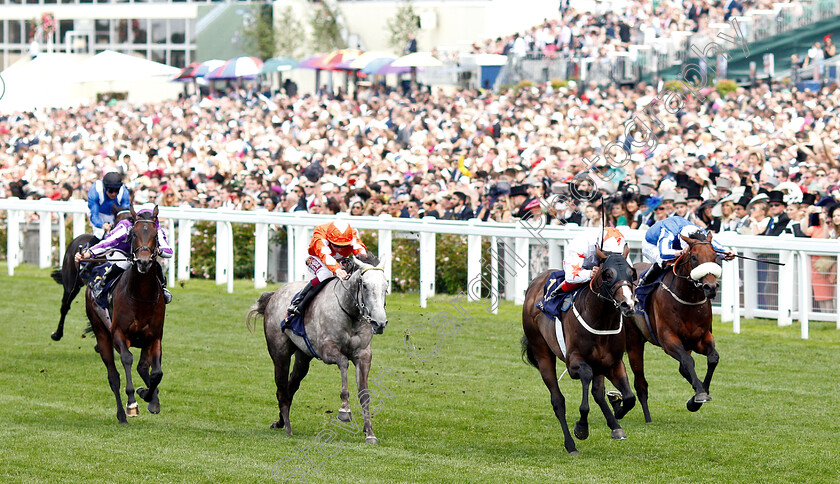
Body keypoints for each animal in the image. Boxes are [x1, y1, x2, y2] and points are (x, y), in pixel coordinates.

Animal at [85, 205, 166, 424]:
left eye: (156, 235)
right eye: (133, 234)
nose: (144, 262)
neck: (141, 297)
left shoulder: (154, 337)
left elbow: (156, 373)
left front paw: (149, 397)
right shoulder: (119, 334)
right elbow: (127, 359)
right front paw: (132, 403)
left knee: (143, 368)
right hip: (102, 334)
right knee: (113, 376)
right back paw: (122, 415)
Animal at [243, 255, 388, 444]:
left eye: (386, 287)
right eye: (365, 286)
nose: (380, 323)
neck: (350, 313)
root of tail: (275, 294)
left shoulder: (363, 355)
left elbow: (364, 394)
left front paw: (370, 433)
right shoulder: (326, 350)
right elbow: (343, 362)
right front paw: (344, 410)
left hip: (303, 357)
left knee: (290, 386)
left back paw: (280, 421)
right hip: (279, 353)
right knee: (281, 388)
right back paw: (287, 427)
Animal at [520, 248, 636, 456]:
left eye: (632, 273)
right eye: (607, 275)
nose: (628, 305)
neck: (601, 319)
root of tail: (535, 282)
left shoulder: (613, 363)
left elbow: (630, 398)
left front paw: (617, 412)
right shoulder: (575, 363)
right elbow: (585, 387)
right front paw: (582, 428)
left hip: (599, 365)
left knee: (597, 392)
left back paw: (614, 424)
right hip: (542, 352)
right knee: (558, 400)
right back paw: (570, 445)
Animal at [628, 233, 724, 422]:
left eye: (715, 256)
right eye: (694, 257)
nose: (710, 287)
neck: (688, 301)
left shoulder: (701, 338)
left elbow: (713, 358)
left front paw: (697, 397)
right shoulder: (669, 340)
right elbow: (688, 361)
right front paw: (699, 394)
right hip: (634, 341)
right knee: (640, 383)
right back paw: (647, 418)